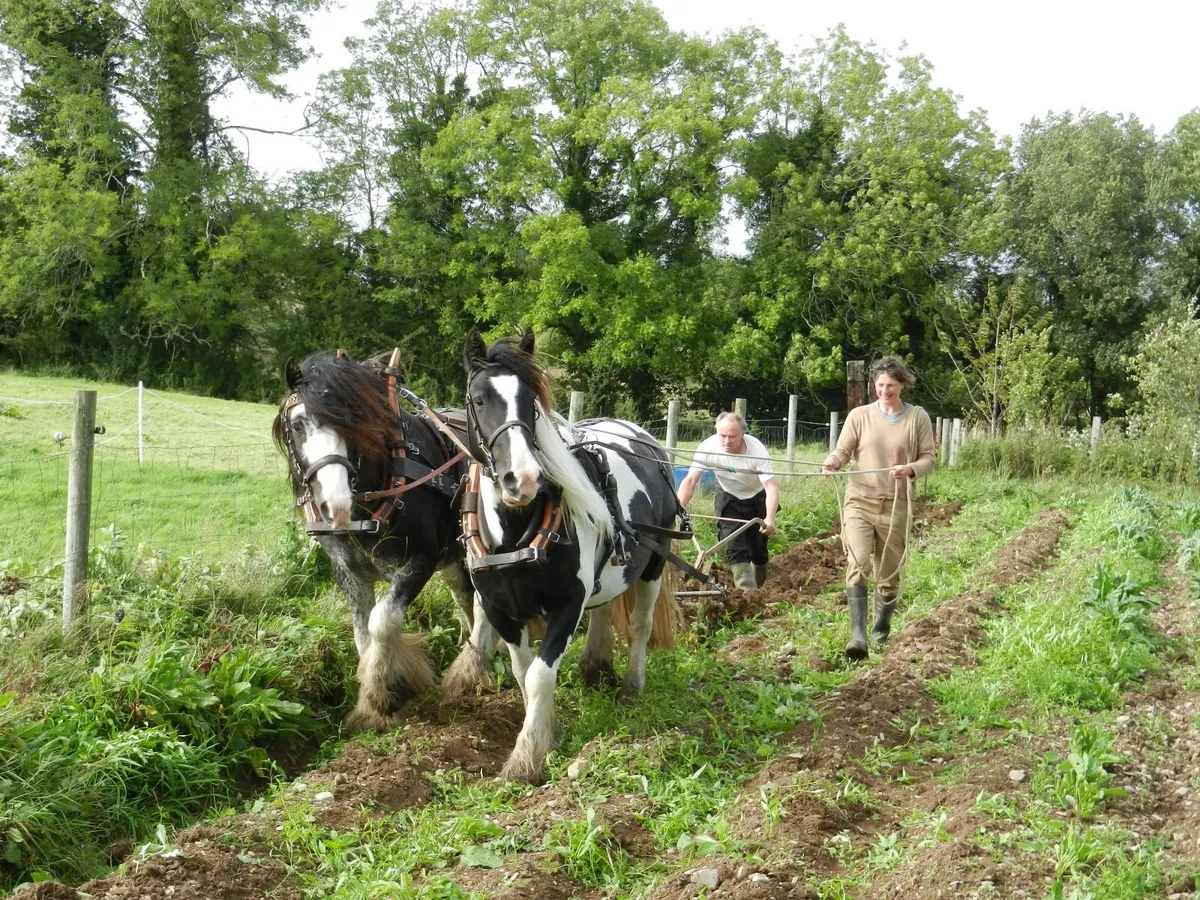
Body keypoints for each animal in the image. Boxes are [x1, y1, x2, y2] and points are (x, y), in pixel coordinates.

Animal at [272, 351, 498, 730]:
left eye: (352, 422)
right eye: (298, 425)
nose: (335, 505)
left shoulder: (419, 562)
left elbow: (382, 622)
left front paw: (381, 694)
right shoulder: (348, 573)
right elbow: (362, 634)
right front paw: (373, 701)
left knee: (485, 606)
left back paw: (475, 671)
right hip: (455, 560)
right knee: (465, 600)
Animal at [454, 327, 680, 782]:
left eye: (531, 401)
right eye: (479, 399)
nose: (522, 479)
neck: (514, 539)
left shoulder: (566, 604)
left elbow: (541, 675)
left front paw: (525, 758)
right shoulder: (501, 609)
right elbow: (523, 673)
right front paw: (545, 731)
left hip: (655, 561)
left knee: (640, 625)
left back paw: (631, 686)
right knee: (604, 606)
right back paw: (596, 665)